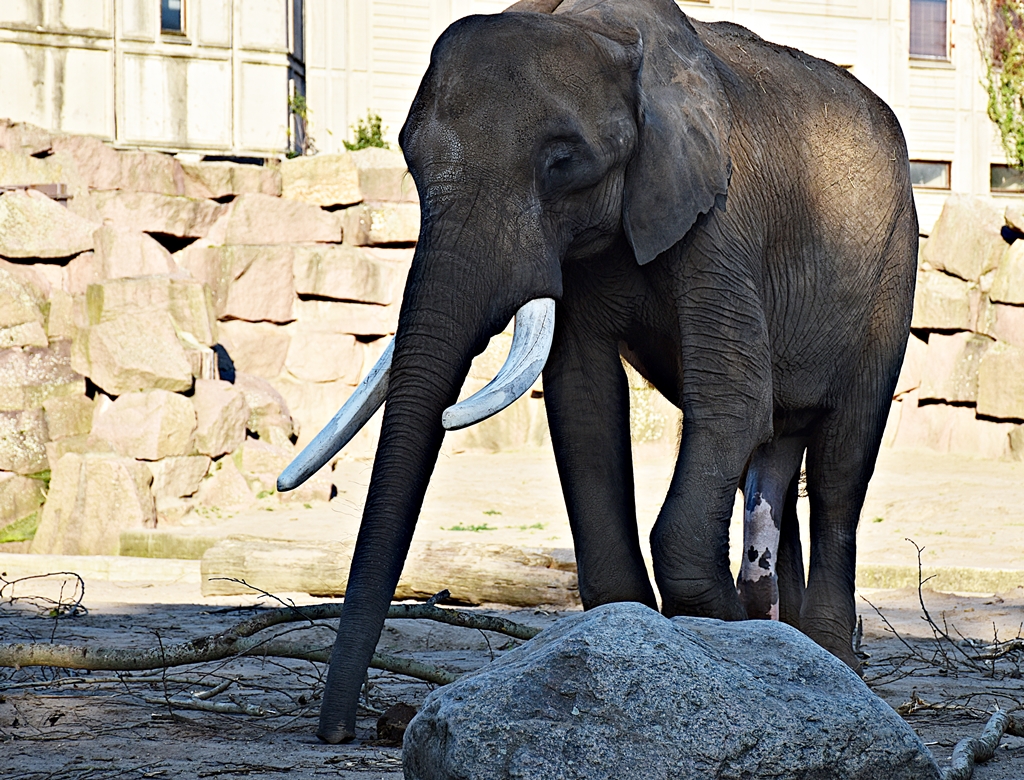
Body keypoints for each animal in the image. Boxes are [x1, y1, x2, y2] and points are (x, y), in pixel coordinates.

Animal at [278, 0, 917, 743]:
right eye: (409, 161)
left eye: (563, 163)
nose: (338, 733)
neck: (604, 28)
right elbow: (583, 401)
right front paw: (655, 630)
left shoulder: (721, 214)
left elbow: (733, 397)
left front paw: (721, 636)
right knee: (776, 460)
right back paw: (787, 634)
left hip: (893, 269)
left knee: (842, 462)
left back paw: (831, 658)